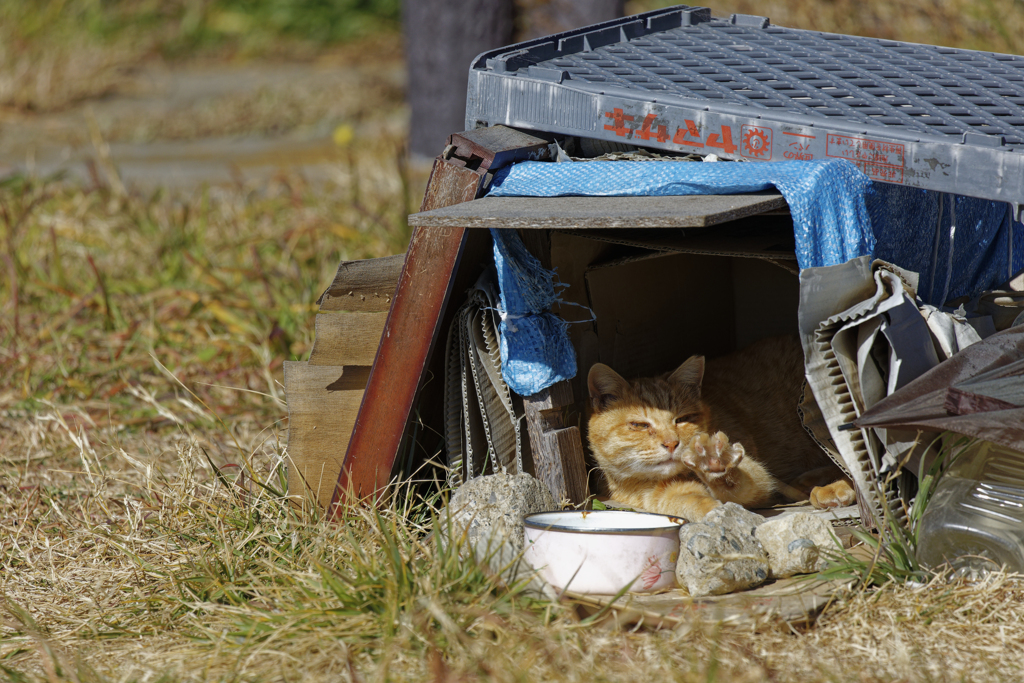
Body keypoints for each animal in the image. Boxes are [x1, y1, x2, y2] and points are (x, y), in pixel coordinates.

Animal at [585, 335, 856, 524]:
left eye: (683, 419)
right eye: (639, 425)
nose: (672, 443)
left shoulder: (757, 475)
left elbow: (738, 480)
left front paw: (714, 463)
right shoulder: (659, 495)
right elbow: (688, 501)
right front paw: (712, 509)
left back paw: (832, 488)